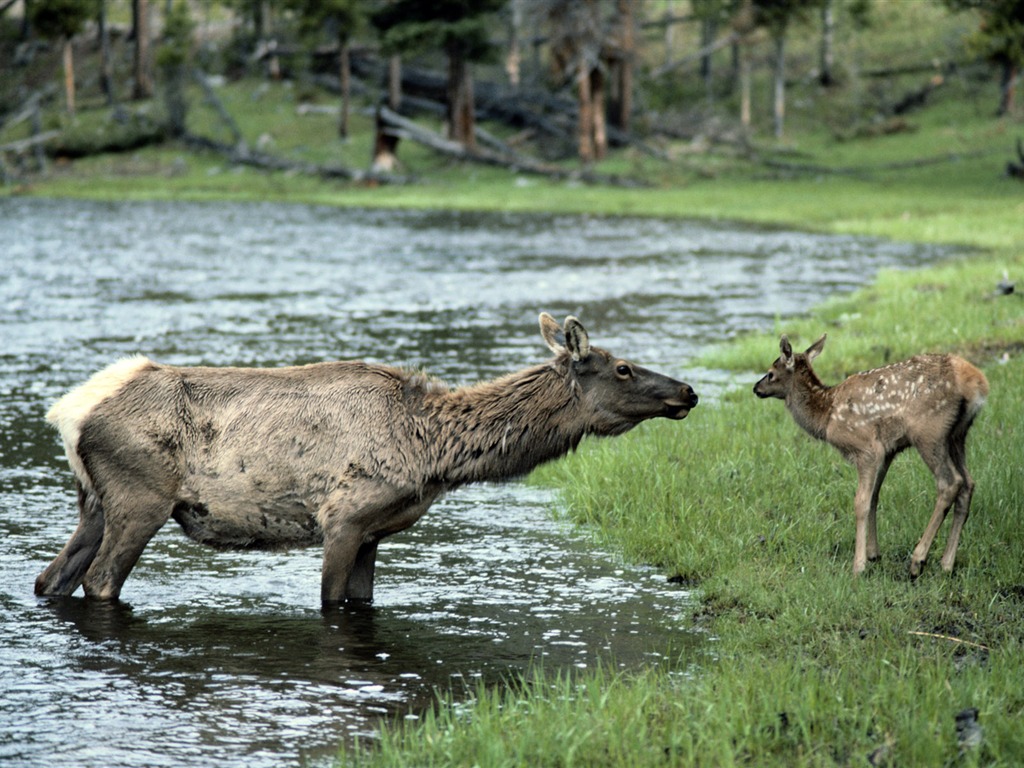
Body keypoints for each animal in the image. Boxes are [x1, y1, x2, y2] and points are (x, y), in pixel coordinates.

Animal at [36, 313, 700, 606]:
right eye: (624, 368)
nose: (689, 392)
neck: (433, 451)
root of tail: (70, 411)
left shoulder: (375, 532)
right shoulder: (344, 518)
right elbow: (333, 602)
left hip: (93, 502)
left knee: (51, 579)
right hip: (140, 498)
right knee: (98, 581)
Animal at [757, 335, 987, 577]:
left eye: (771, 372)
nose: (756, 387)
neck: (826, 415)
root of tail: (976, 382)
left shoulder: (866, 448)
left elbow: (861, 502)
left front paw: (859, 565)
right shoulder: (887, 451)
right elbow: (875, 496)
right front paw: (873, 554)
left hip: (929, 432)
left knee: (950, 482)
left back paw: (918, 560)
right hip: (957, 435)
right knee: (968, 483)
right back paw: (946, 564)